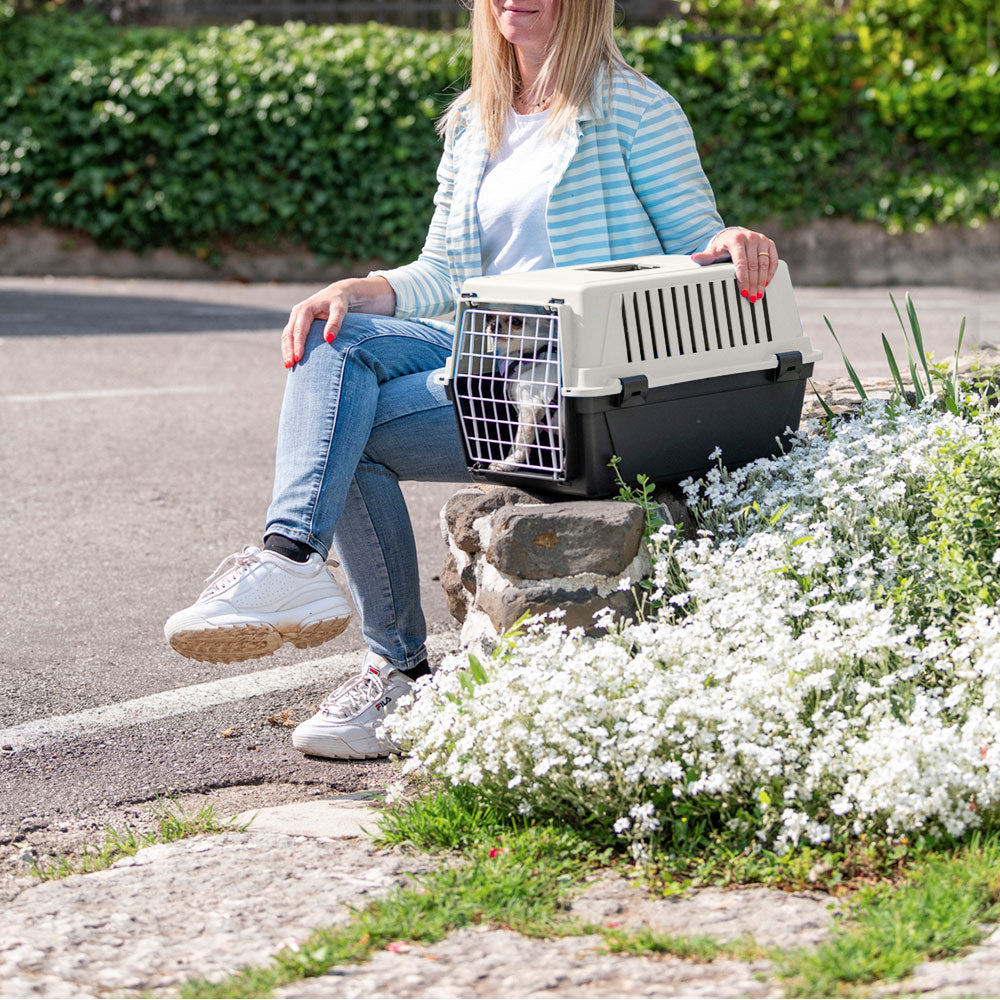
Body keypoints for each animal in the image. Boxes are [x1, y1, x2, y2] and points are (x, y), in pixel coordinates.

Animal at [440, 254, 820, 496]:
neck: (527, 358)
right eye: (492, 317)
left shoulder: (531, 411)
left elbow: (519, 445)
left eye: (517, 321)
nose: (492, 325)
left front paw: (506, 464)